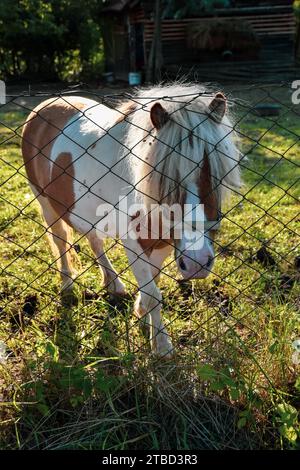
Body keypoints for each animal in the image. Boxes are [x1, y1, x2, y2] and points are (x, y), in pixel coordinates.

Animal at [21, 83, 241, 356]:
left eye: (213, 172)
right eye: (166, 176)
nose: (197, 263)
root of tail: (45, 104)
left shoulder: (165, 243)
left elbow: (152, 285)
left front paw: (143, 316)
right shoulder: (134, 244)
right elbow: (153, 294)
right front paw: (162, 346)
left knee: (95, 241)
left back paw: (113, 284)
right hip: (45, 203)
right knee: (60, 241)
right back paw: (68, 286)